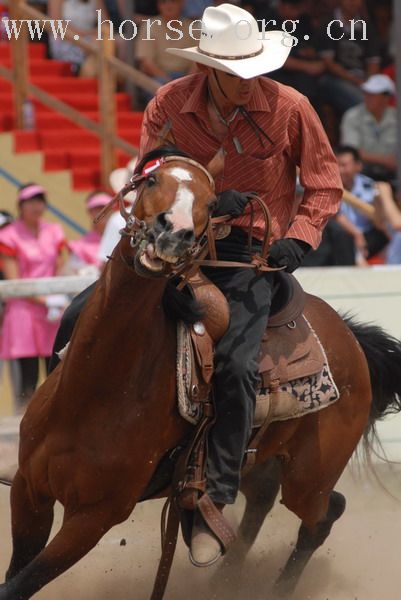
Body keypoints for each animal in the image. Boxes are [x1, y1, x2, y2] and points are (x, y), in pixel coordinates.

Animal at [0, 146, 400, 600]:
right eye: (152, 180)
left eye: (211, 204)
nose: (173, 233)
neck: (95, 390)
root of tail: (350, 336)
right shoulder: (29, 493)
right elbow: (16, 573)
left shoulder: (94, 518)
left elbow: (16, 586)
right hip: (259, 462)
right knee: (261, 503)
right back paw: (224, 575)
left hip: (309, 477)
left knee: (324, 514)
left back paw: (274, 587)